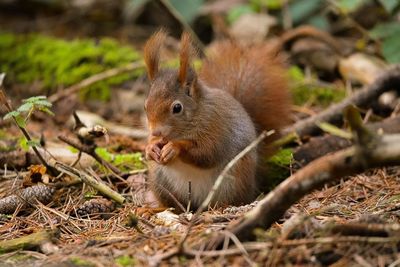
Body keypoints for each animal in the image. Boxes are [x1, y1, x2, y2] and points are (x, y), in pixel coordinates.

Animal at [144, 30, 290, 211]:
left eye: (177, 108)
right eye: (145, 106)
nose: (155, 131)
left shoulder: (216, 127)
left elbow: (207, 153)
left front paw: (174, 148)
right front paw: (150, 148)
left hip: (234, 180)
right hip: (161, 182)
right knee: (175, 204)